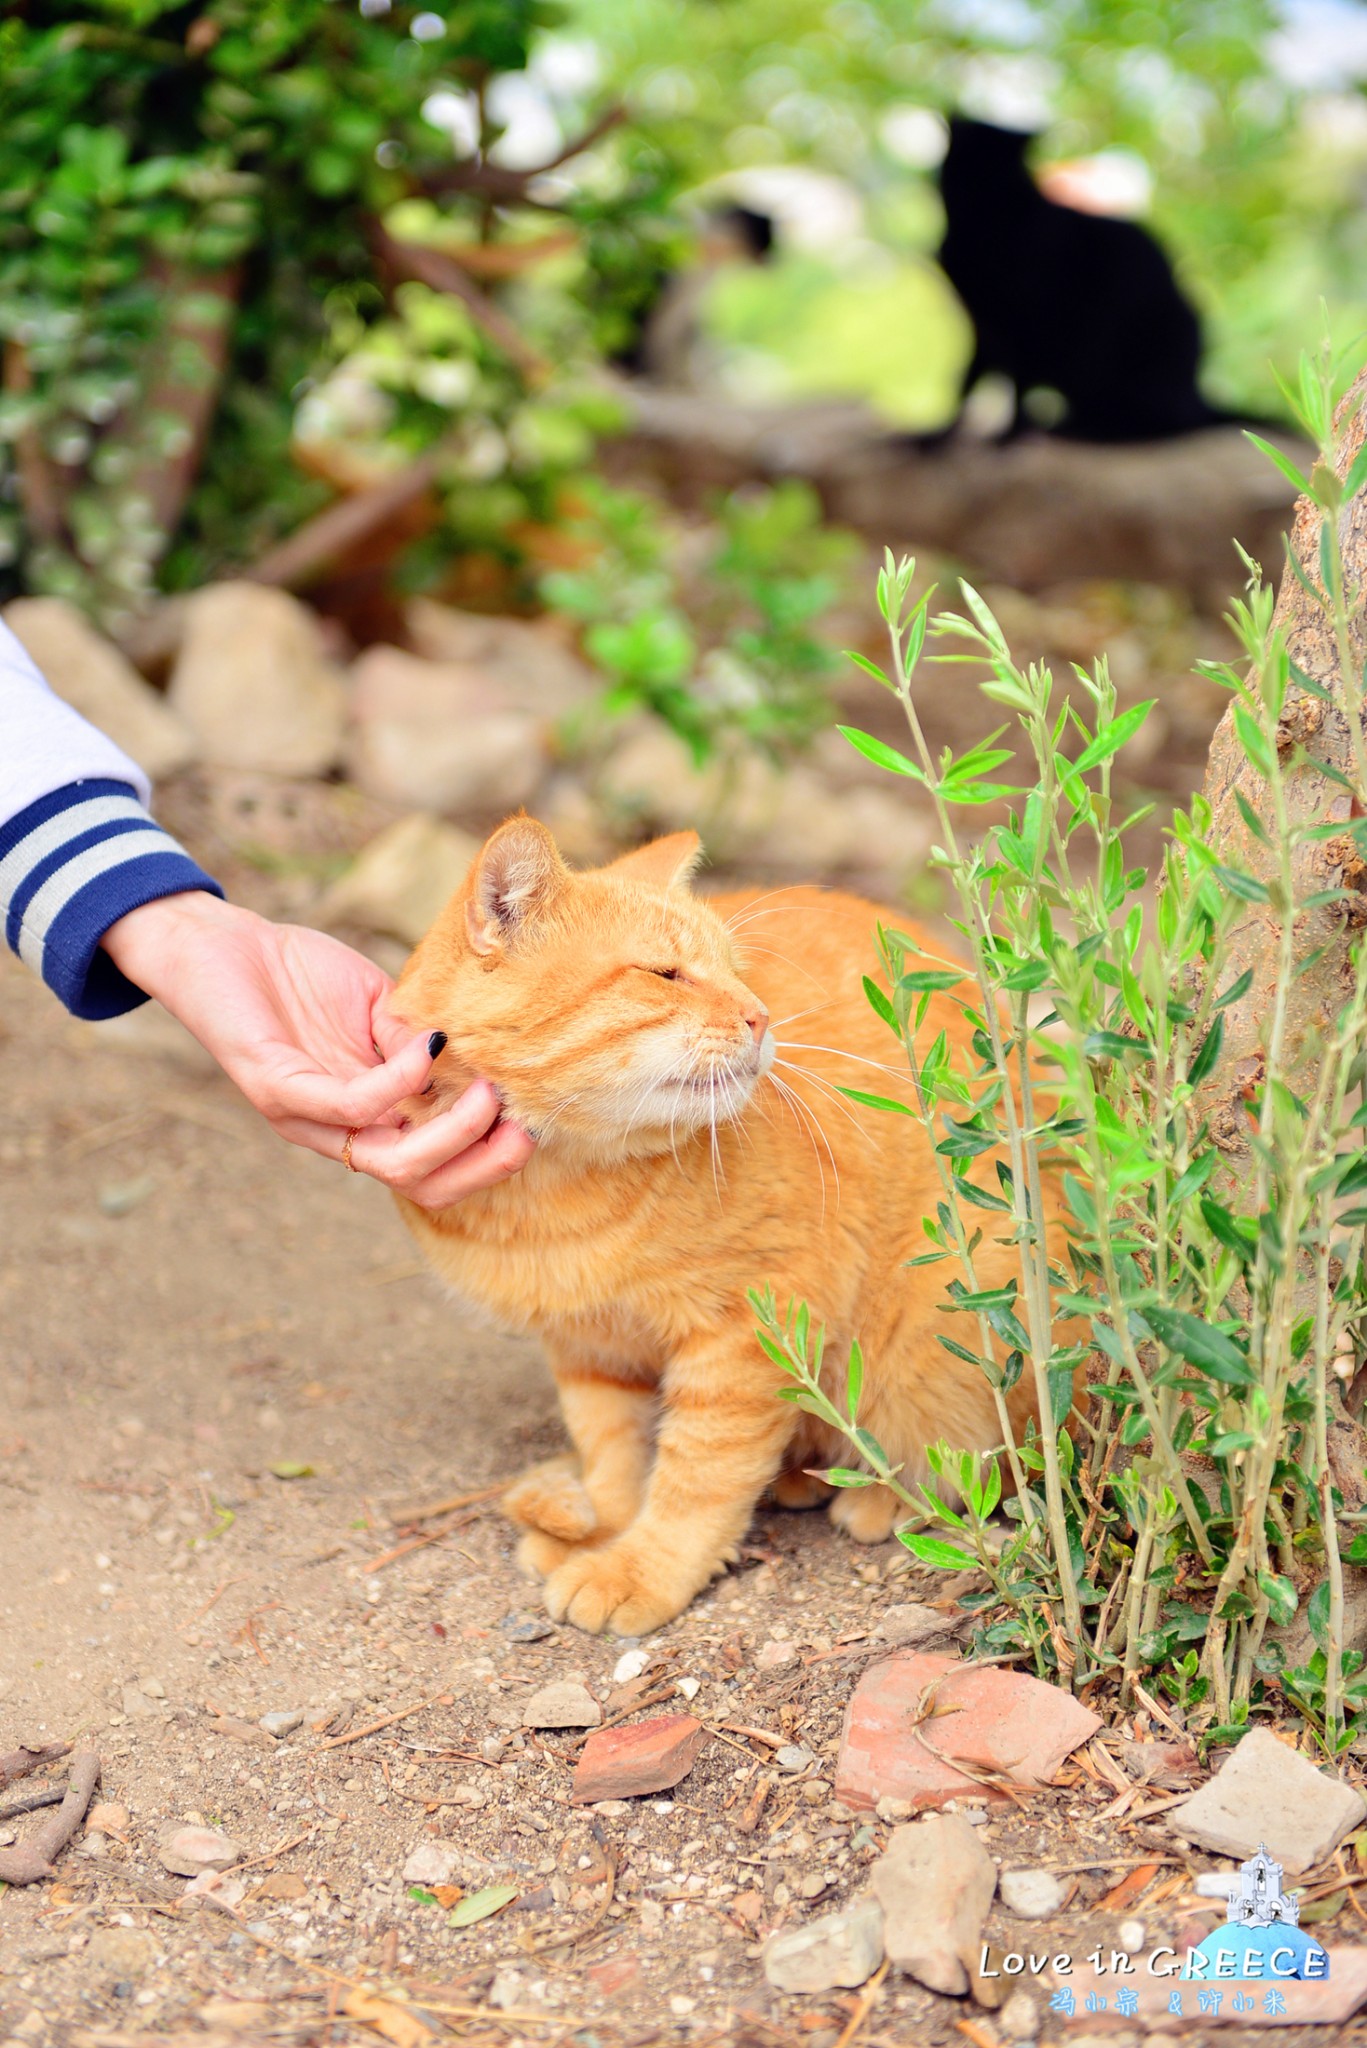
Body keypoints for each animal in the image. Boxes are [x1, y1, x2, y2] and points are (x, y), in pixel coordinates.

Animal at [389, 815, 1065, 1630]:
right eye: (665, 975)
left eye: (737, 971)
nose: (760, 1015)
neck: (554, 1199)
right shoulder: (587, 1349)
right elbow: (611, 1449)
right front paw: (606, 1524)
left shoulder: (746, 1337)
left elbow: (698, 1475)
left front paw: (640, 1569)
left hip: (949, 1328)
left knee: (978, 1462)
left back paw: (881, 1500)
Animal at [942, 117, 1229, 442]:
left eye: (1004, 184)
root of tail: (1197, 397)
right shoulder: (983, 326)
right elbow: (969, 378)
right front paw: (938, 434)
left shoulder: (1028, 323)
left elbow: (1017, 382)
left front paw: (1011, 436)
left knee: (1165, 423)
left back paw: (1085, 429)